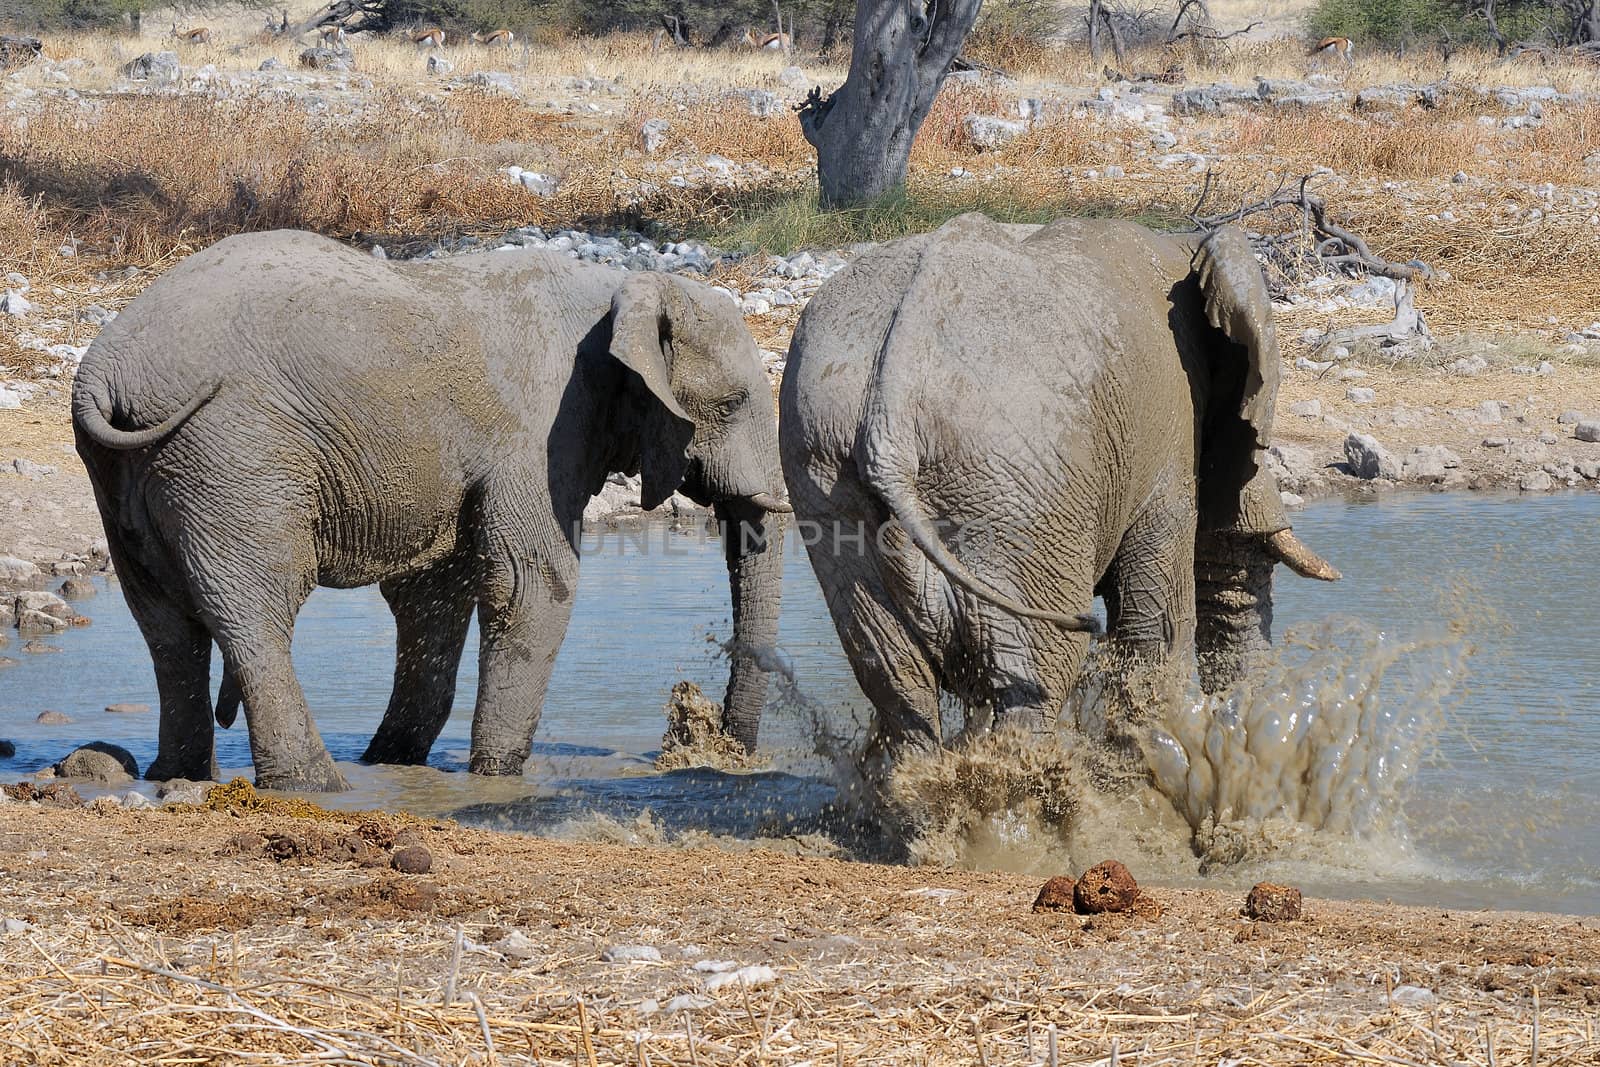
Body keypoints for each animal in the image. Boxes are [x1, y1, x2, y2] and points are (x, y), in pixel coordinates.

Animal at [75, 235, 787, 799]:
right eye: (733, 404)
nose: (724, 746)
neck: (622, 290)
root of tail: (101, 379)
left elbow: (436, 591)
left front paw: (394, 762)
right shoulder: (540, 431)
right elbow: (532, 584)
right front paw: (496, 778)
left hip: (128, 474)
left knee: (164, 624)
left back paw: (182, 776)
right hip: (231, 453)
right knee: (256, 611)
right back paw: (315, 785)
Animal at [774, 214, 1337, 767]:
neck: (1184, 243)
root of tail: (889, 417)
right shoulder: (1169, 435)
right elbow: (1158, 630)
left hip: (829, 483)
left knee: (899, 689)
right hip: (1017, 502)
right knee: (1037, 680)